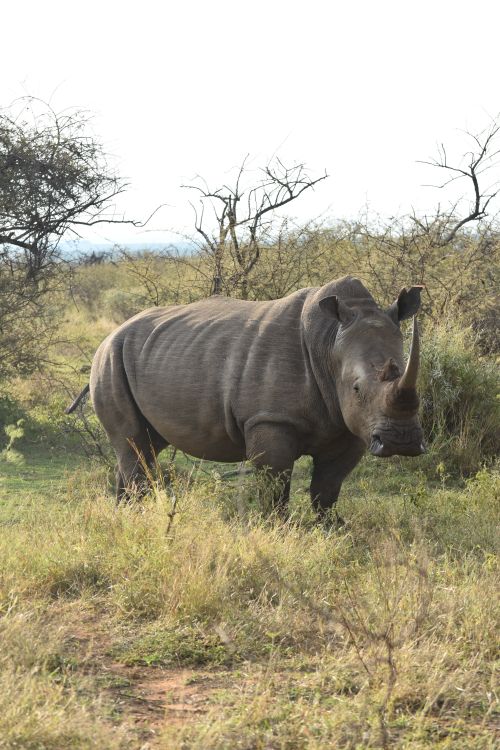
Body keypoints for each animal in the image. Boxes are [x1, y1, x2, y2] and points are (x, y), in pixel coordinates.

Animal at [66, 276, 425, 516]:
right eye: (356, 387)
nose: (401, 442)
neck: (328, 342)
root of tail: (112, 333)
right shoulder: (270, 420)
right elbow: (274, 486)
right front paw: (279, 533)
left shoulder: (350, 424)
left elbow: (327, 489)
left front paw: (332, 530)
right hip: (109, 358)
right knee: (134, 446)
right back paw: (137, 520)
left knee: (144, 447)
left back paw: (124, 518)